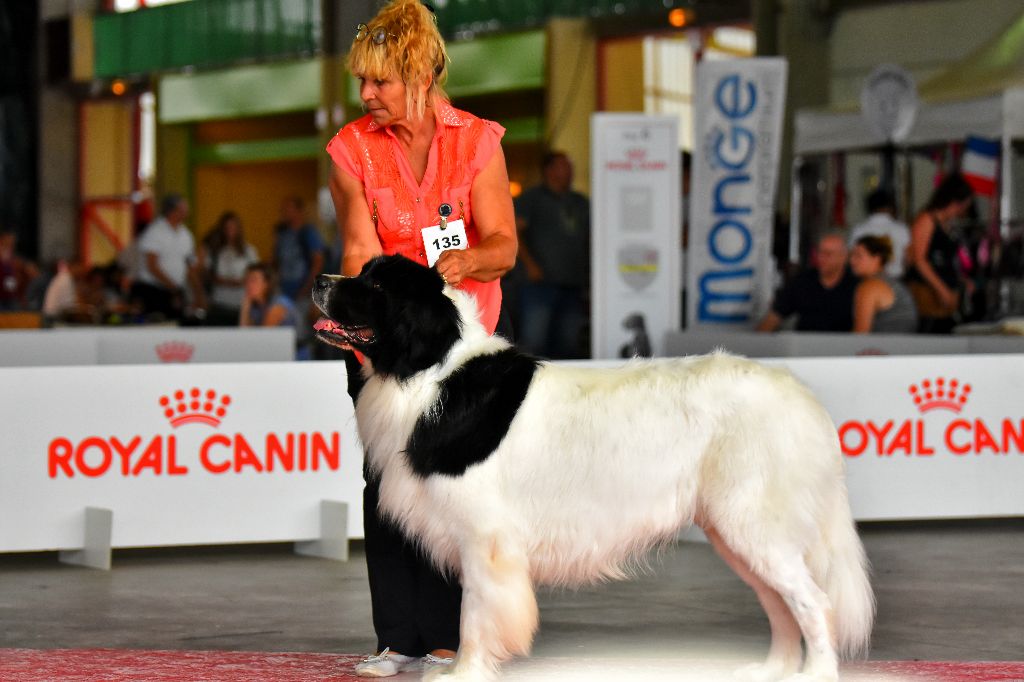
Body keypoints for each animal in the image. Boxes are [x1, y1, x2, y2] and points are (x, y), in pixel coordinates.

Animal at [309, 254, 872, 679]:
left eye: (375, 284)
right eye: (363, 270)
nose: (319, 280)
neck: (432, 370)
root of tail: (801, 397)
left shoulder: (484, 537)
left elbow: (475, 612)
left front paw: (465, 671)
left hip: (754, 522)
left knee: (813, 602)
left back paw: (815, 674)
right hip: (736, 531)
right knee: (781, 603)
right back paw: (770, 671)